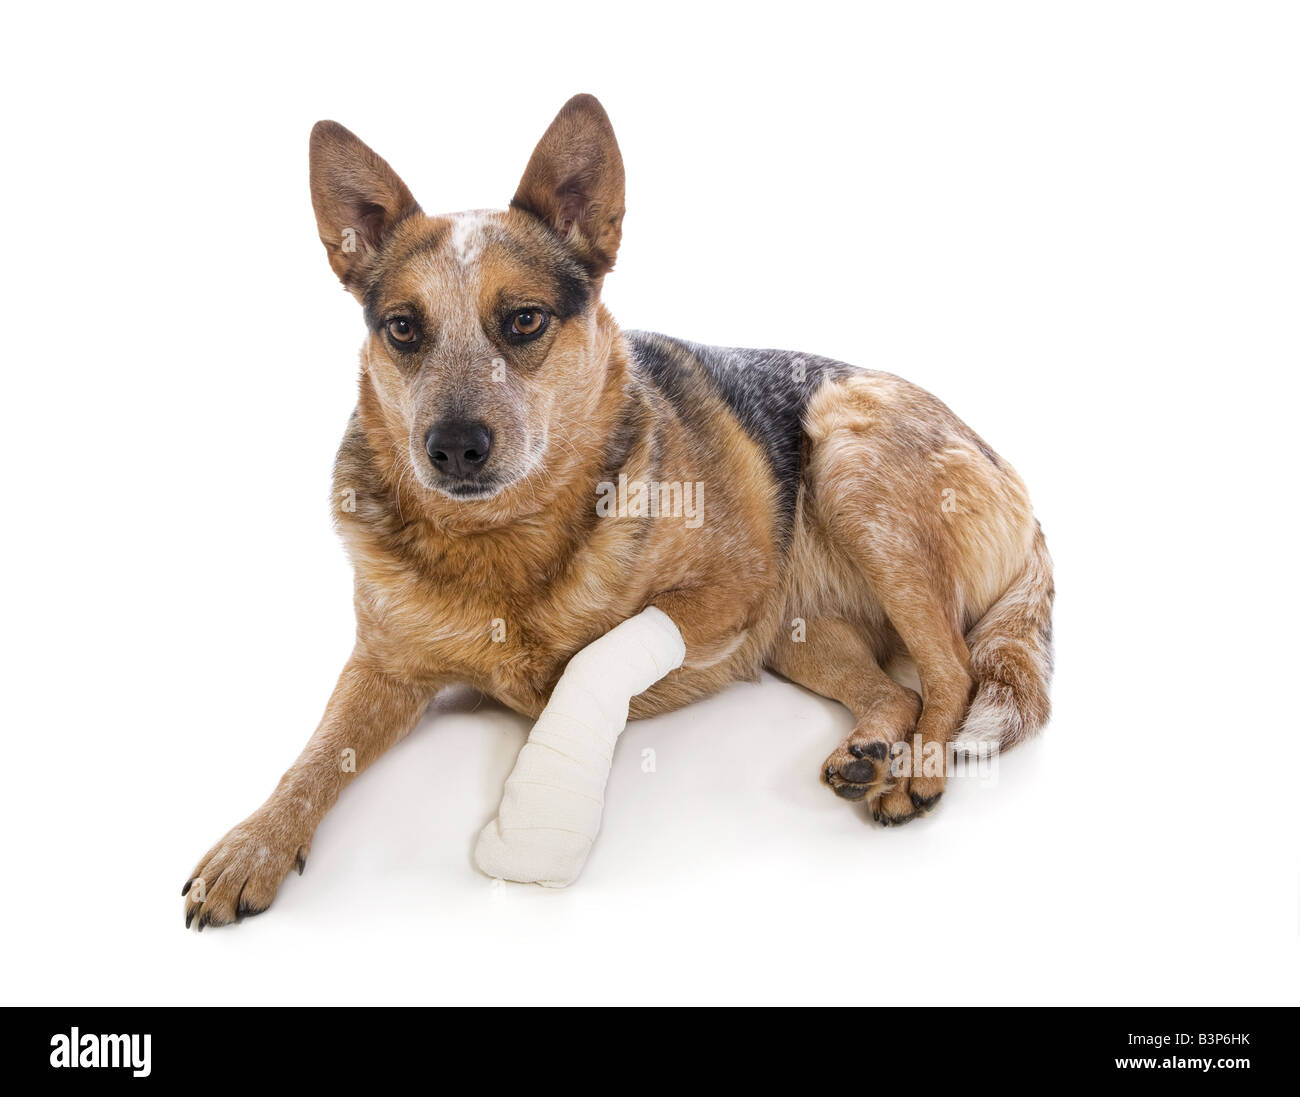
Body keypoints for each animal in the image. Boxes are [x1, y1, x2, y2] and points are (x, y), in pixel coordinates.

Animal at [185, 94, 1055, 930]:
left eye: (524, 319)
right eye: (402, 327)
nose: (454, 447)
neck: (499, 542)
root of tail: (1019, 486)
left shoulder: (731, 588)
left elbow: (594, 657)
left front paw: (534, 823)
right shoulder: (382, 666)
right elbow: (314, 756)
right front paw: (252, 843)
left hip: (847, 459)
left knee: (952, 668)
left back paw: (917, 770)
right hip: (799, 632)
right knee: (897, 691)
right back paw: (872, 744)